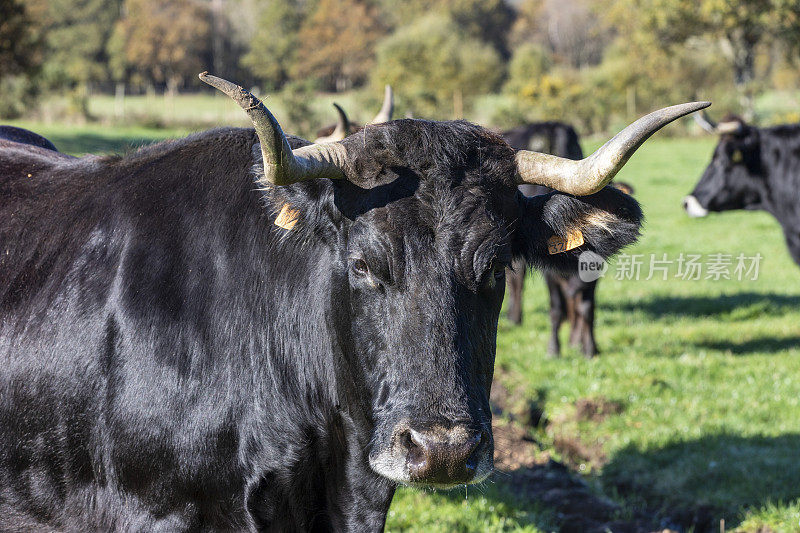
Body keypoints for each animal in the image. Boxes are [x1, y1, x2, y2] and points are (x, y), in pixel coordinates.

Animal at [504, 118, 636, 356]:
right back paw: (515, 317)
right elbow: (556, 307)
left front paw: (589, 348)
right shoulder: (550, 272)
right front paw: (554, 349)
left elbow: (586, 307)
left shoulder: (594, 271)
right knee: (517, 280)